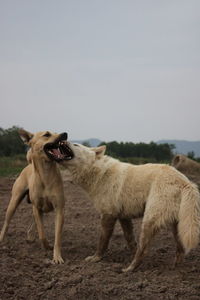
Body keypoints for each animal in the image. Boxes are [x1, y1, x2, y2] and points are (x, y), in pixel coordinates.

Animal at [0, 128, 73, 262]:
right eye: (47, 134)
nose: (65, 134)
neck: (46, 173)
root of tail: (28, 165)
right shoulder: (37, 207)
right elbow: (42, 234)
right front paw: (47, 246)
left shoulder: (59, 209)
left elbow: (57, 236)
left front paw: (57, 257)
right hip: (14, 202)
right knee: (7, 223)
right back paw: (2, 240)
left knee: (33, 223)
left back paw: (30, 236)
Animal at [61, 143, 200, 272]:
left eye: (76, 144)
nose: (63, 140)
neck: (100, 172)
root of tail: (186, 183)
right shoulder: (124, 217)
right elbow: (130, 240)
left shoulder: (108, 215)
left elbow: (103, 241)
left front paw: (96, 258)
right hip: (177, 226)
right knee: (180, 248)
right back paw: (175, 268)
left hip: (149, 221)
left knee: (143, 250)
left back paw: (129, 269)